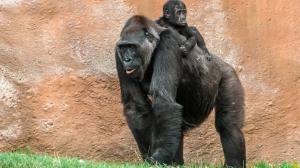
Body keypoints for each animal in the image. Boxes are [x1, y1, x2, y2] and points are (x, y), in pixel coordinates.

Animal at [115, 15, 246, 167]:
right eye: (123, 48)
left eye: (132, 47)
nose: (127, 59)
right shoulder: (117, 53)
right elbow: (136, 107)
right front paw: (149, 157)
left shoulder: (167, 43)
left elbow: (164, 100)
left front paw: (159, 156)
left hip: (228, 74)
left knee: (228, 126)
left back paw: (233, 163)